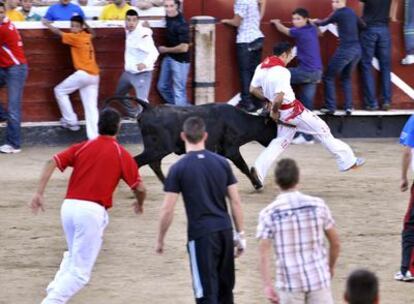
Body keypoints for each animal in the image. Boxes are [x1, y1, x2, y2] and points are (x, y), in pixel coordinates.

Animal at [104, 97, 278, 189]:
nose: (278, 136)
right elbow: (243, 166)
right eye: (273, 128)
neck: (241, 121)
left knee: (154, 164)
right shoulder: (232, 149)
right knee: (140, 161)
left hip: (157, 149)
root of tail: (149, 108)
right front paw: (257, 184)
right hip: (157, 148)